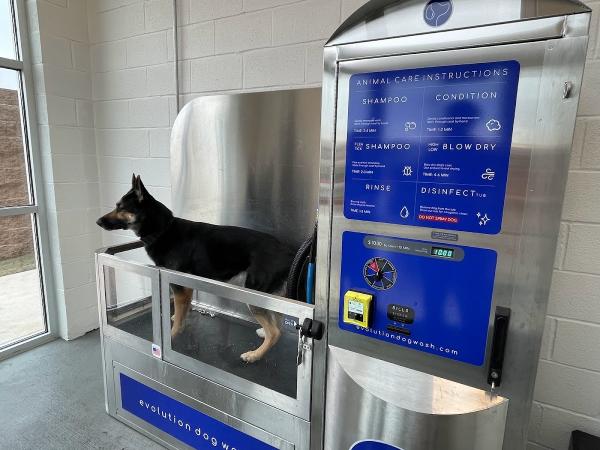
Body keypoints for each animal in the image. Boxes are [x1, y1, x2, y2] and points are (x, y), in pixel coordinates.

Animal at [96, 174, 296, 364]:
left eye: (121, 208)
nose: (97, 221)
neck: (163, 230)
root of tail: (287, 251)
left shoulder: (179, 288)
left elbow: (178, 319)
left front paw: (171, 336)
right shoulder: (186, 288)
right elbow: (182, 312)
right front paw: (179, 320)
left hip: (254, 295)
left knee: (275, 332)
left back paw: (255, 355)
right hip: (270, 296)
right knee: (277, 323)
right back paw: (263, 333)